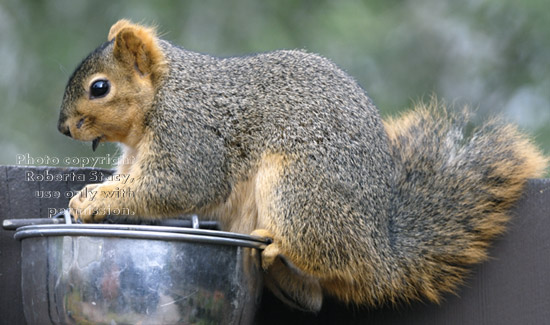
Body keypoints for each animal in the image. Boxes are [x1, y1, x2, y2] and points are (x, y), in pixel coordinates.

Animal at [58, 19, 548, 312]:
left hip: (296, 188)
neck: (162, 95)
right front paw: (89, 195)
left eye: (99, 87)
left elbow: (176, 186)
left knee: (329, 259)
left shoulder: (191, 135)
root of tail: (383, 256)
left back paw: (277, 249)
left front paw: (95, 202)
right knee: (313, 297)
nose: (62, 127)